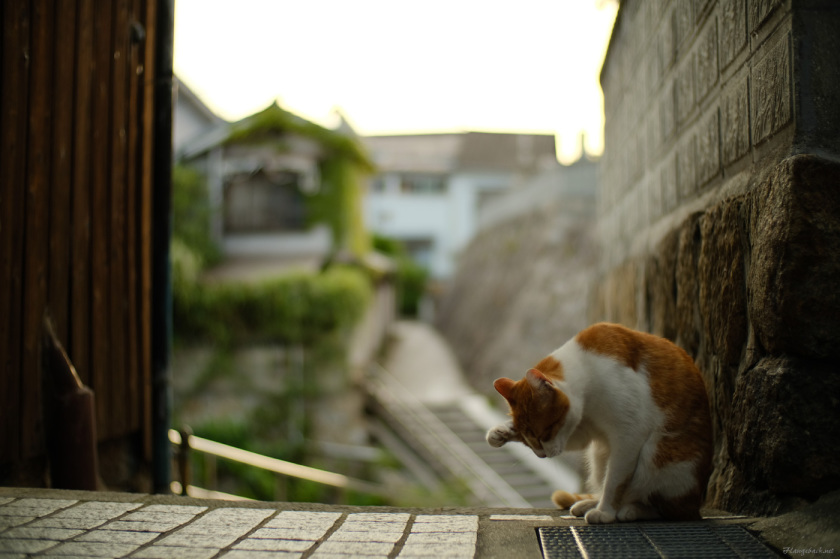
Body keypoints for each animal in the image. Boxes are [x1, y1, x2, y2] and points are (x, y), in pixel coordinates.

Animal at [488, 324, 712, 524]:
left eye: (546, 432)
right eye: (528, 441)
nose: (542, 455)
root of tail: (698, 502)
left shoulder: (629, 436)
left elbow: (614, 482)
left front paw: (605, 512)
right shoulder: (583, 431)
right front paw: (501, 432)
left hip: (658, 455)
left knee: (669, 509)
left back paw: (630, 510)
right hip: (599, 455)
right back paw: (589, 503)